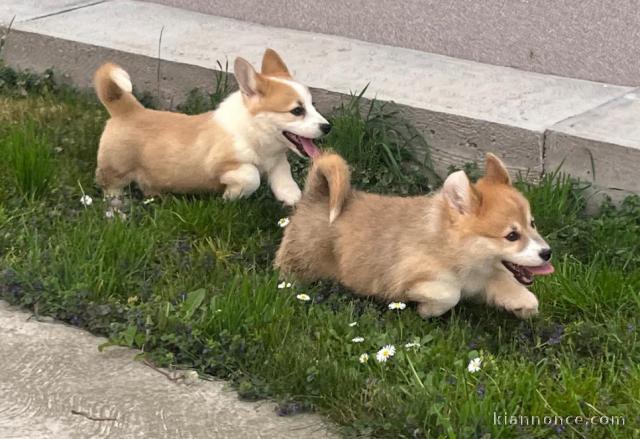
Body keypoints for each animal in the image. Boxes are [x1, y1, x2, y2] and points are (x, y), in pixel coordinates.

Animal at [94, 49, 330, 205]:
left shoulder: (276, 159)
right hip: (116, 168)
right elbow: (251, 175)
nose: (328, 127)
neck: (255, 133)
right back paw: (116, 206)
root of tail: (127, 110)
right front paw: (231, 196)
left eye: (312, 105)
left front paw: (291, 196)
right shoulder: (220, 165)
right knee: (109, 184)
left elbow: (283, 173)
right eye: (297, 111)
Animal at [276, 154, 556, 320]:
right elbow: (449, 294)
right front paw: (427, 310)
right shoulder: (409, 278)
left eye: (532, 224)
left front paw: (522, 304)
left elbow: (511, 287)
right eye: (512, 235)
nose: (547, 253)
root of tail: (317, 196)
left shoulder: (485, 277)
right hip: (302, 262)